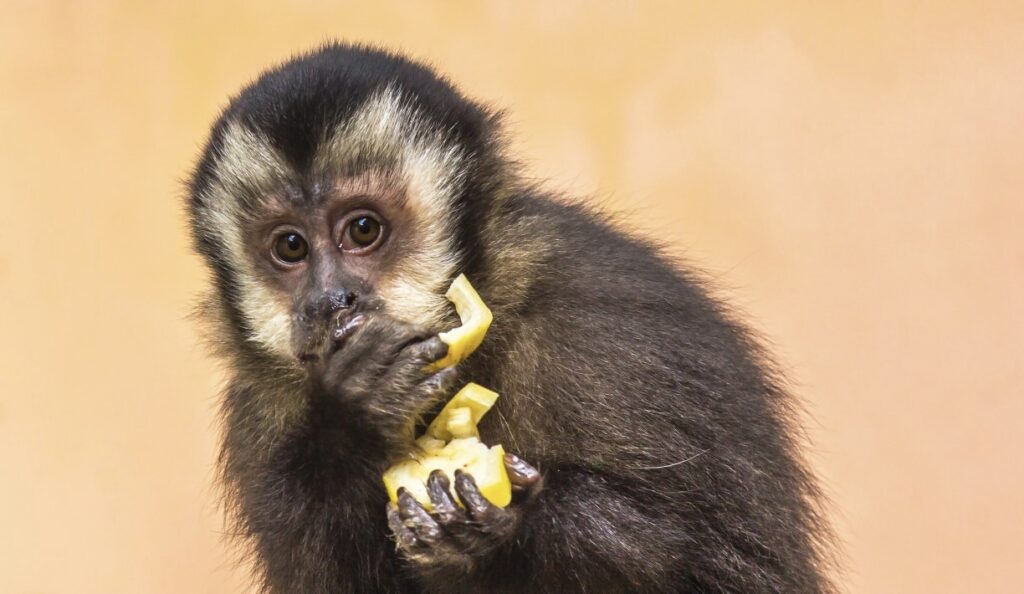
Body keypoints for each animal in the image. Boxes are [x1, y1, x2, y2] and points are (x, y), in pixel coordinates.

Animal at [187, 43, 835, 593]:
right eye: (290, 247)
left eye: (363, 230)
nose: (329, 301)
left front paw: (498, 533)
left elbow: (689, 550)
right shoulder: (259, 414)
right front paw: (354, 418)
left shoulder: (607, 335)